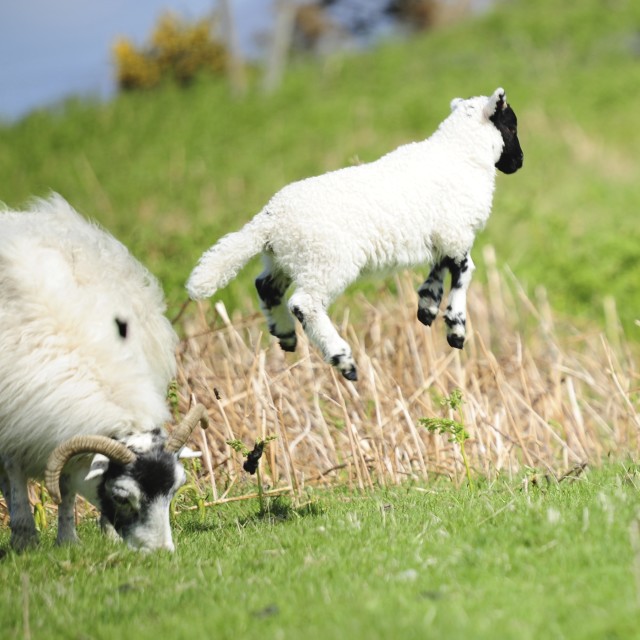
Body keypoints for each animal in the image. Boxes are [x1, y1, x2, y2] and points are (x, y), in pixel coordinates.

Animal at [186, 88, 524, 382]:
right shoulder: (455, 231)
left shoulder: (444, 234)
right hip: (326, 261)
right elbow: (464, 271)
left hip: (286, 259)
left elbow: (441, 267)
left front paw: (427, 306)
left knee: (266, 286)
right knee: (304, 304)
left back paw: (285, 335)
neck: (461, 154)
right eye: (512, 125)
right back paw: (343, 360)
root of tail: (269, 221)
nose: (518, 163)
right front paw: (455, 328)